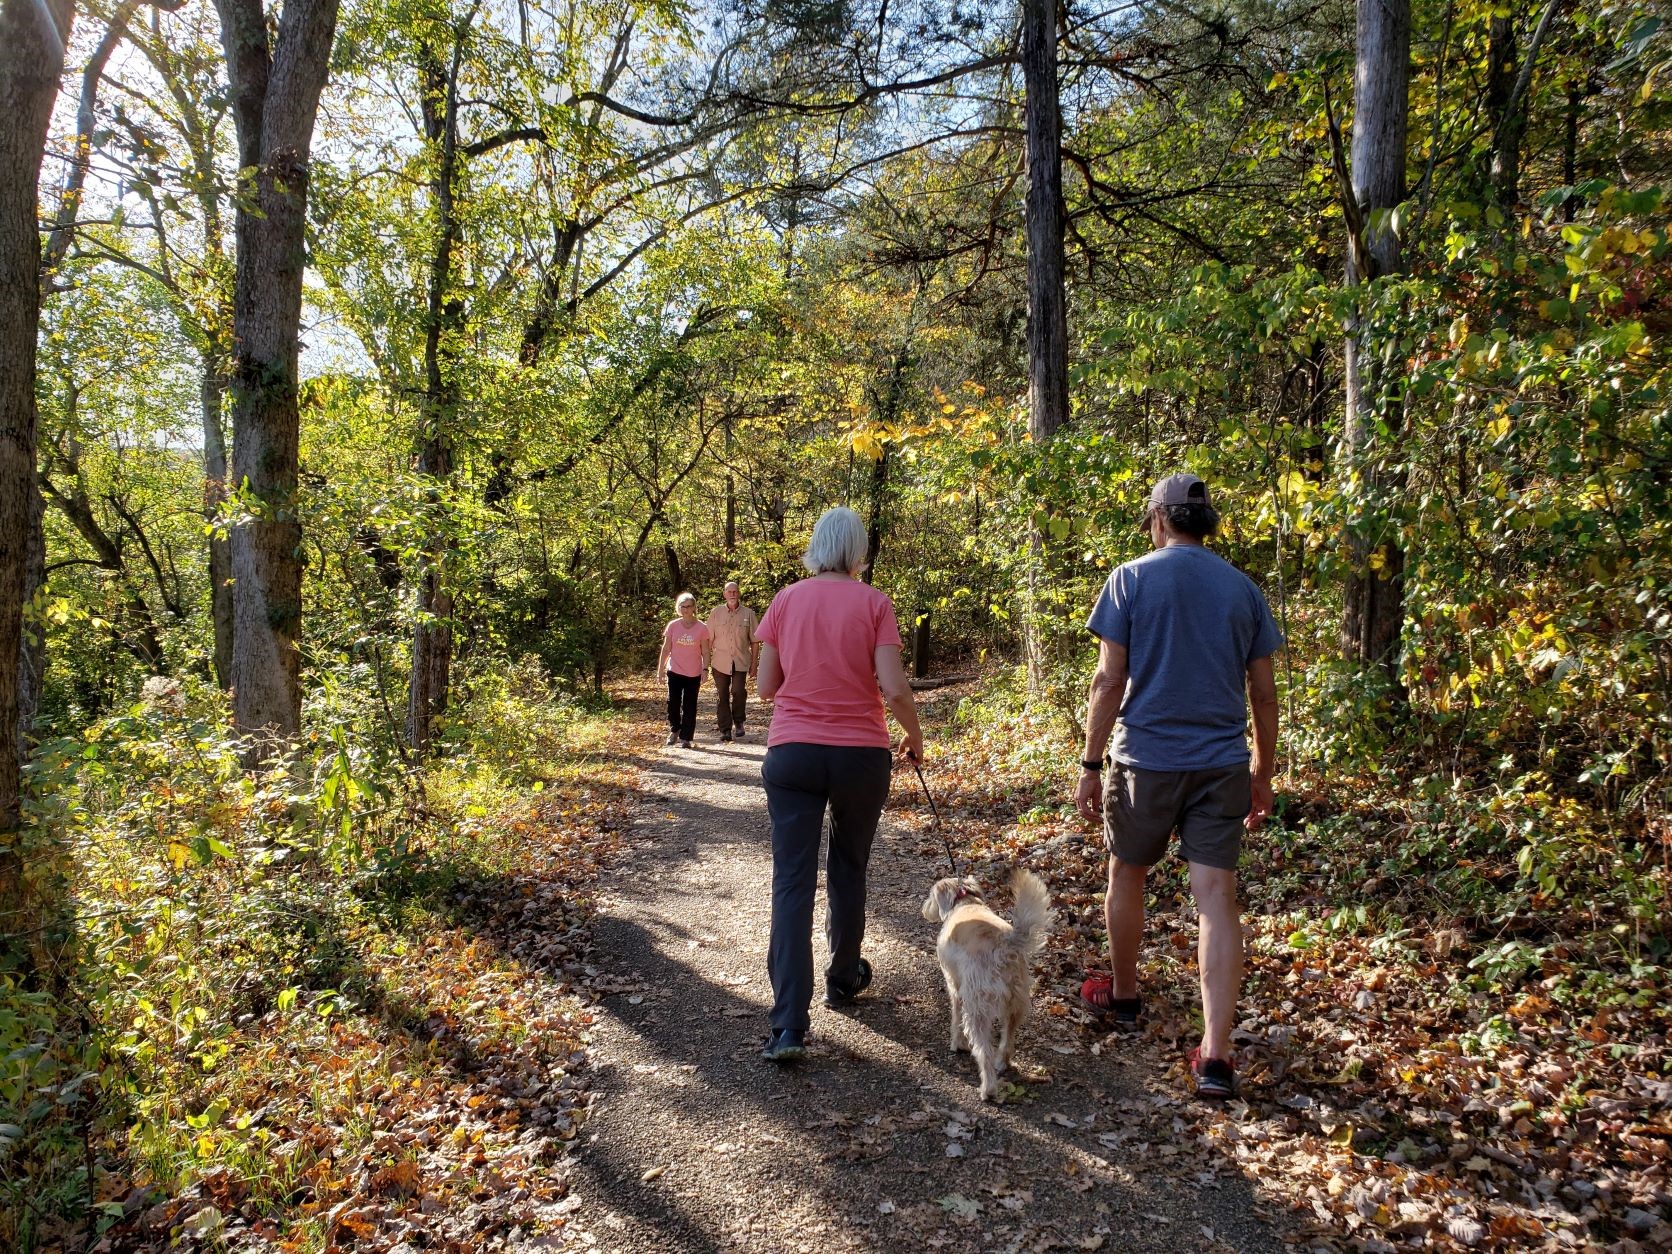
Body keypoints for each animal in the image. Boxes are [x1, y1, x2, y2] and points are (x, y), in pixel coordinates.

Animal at [922, 869, 1050, 1103]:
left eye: (931, 895)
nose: (925, 908)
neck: (964, 902)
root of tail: (1006, 945)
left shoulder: (955, 986)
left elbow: (955, 1018)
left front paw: (956, 1044)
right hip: (1016, 1002)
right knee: (1007, 1038)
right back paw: (1002, 1063)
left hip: (978, 1006)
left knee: (984, 1051)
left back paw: (988, 1089)